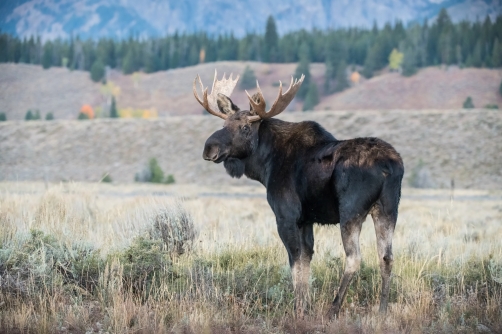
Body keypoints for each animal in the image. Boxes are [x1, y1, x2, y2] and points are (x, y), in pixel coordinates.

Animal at [194, 71, 406, 318]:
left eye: (246, 128)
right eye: (224, 123)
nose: (209, 148)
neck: (265, 164)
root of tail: (389, 166)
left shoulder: (286, 216)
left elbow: (295, 263)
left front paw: (299, 310)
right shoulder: (306, 220)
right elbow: (306, 260)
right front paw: (306, 305)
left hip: (351, 211)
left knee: (354, 259)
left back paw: (333, 309)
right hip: (387, 209)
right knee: (386, 257)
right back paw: (382, 311)